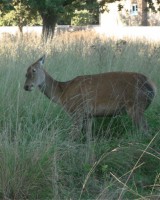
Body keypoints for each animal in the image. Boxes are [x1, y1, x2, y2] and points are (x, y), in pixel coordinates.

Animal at [23, 54, 156, 133]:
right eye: (25, 73)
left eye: (33, 70)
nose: (26, 86)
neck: (62, 93)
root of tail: (152, 86)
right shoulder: (89, 115)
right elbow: (88, 138)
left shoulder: (77, 110)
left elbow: (74, 136)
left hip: (136, 105)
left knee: (146, 130)